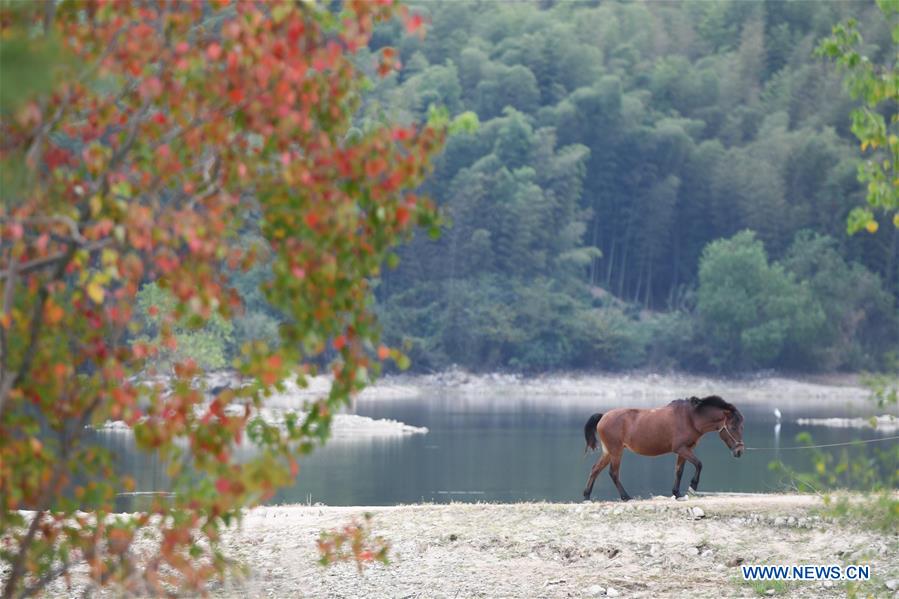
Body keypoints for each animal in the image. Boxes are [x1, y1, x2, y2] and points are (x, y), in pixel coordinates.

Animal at [584, 394, 744, 502]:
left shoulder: (684, 450)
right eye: (733, 427)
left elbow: (679, 471)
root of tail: (603, 416)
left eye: (741, 426)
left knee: (595, 469)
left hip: (608, 452)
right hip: (616, 451)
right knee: (613, 473)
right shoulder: (681, 448)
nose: (740, 451)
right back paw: (626, 497)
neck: (691, 418)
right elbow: (699, 464)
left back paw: (586, 495)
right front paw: (692, 487)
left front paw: (677, 493)